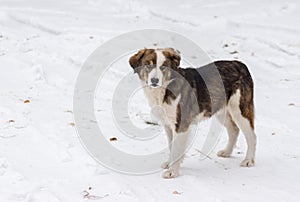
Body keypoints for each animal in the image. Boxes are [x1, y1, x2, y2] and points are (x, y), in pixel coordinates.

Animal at [127, 47, 256, 178]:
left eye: (164, 67)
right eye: (148, 65)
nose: (154, 80)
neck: (165, 89)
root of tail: (240, 64)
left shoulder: (181, 125)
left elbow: (176, 149)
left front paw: (173, 171)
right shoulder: (168, 125)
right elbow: (171, 146)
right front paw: (170, 163)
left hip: (240, 110)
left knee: (252, 136)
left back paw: (248, 160)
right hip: (221, 111)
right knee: (234, 130)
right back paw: (227, 152)